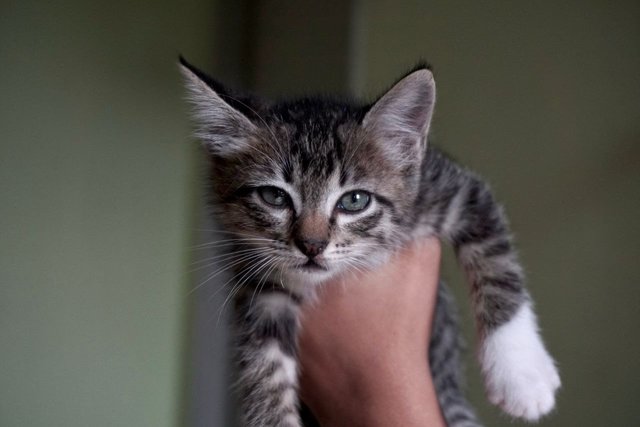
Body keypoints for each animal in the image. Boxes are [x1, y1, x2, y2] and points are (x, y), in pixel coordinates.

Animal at [180, 57, 560, 427]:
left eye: (355, 201)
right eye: (274, 197)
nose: (312, 245)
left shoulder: (454, 190)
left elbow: (497, 264)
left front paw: (520, 375)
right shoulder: (258, 280)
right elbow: (264, 365)